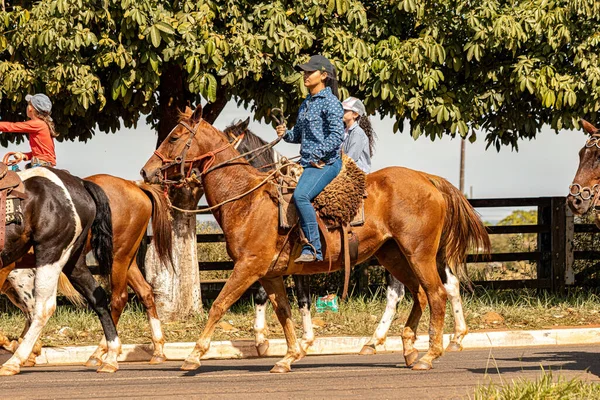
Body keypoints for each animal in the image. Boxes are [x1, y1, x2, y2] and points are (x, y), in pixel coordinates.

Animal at [0, 167, 120, 374]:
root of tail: (79, 182)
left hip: (51, 252)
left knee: (43, 307)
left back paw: (15, 361)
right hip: (74, 261)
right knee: (97, 297)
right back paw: (110, 358)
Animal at [143, 105, 490, 372]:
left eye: (175, 136)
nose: (147, 172)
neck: (248, 198)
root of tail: (430, 179)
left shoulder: (249, 267)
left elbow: (220, 305)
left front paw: (193, 356)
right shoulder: (271, 274)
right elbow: (284, 310)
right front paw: (288, 355)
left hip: (419, 254)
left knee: (436, 293)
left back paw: (430, 353)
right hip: (393, 255)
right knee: (419, 293)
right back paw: (406, 348)